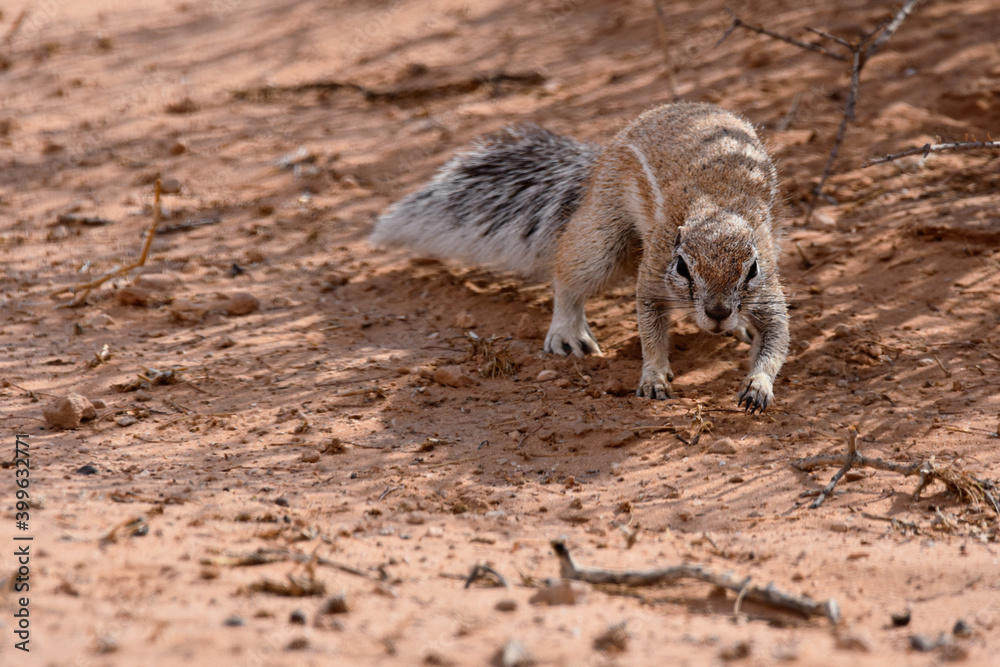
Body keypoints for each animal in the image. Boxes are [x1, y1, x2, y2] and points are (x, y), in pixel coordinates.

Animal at [372, 102, 789, 413]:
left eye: (751, 269)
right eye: (682, 266)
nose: (718, 313)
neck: (718, 209)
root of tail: (601, 156)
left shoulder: (769, 288)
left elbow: (776, 337)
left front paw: (758, 384)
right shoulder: (654, 274)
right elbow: (650, 330)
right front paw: (654, 376)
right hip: (603, 241)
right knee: (568, 277)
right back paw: (567, 334)